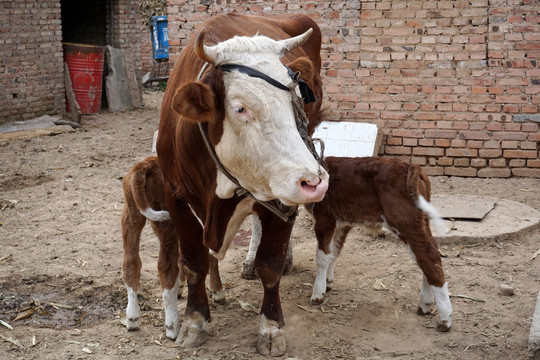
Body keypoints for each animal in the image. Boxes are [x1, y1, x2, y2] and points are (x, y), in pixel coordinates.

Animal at [154, 13, 326, 354]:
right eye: (240, 108)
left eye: (297, 98)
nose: (313, 181)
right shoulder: (175, 194)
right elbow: (193, 262)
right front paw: (194, 322)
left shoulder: (282, 190)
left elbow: (270, 264)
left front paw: (271, 328)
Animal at [308, 157, 452, 332]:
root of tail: (411, 166)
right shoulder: (342, 221)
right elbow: (333, 253)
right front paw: (328, 283)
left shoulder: (324, 217)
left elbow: (322, 257)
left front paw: (318, 294)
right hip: (421, 221)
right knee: (429, 254)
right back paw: (425, 305)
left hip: (405, 220)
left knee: (428, 257)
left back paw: (444, 319)